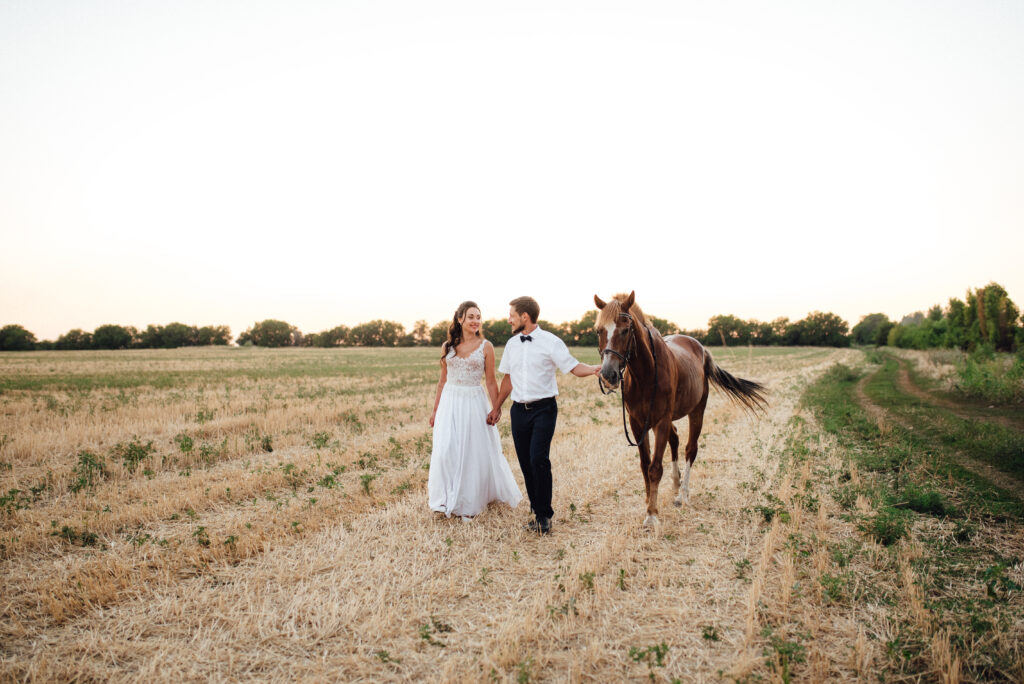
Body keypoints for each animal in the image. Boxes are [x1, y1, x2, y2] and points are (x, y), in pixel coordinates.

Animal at [593, 290, 770, 528]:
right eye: (599, 330)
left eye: (625, 330)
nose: (608, 375)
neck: (645, 374)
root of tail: (702, 349)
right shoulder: (637, 423)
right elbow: (644, 465)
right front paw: (649, 502)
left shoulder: (661, 421)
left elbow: (655, 468)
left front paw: (652, 515)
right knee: (675, 439)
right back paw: (676, 486)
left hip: (697, 411)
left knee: (690, 449)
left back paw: (683, 494)